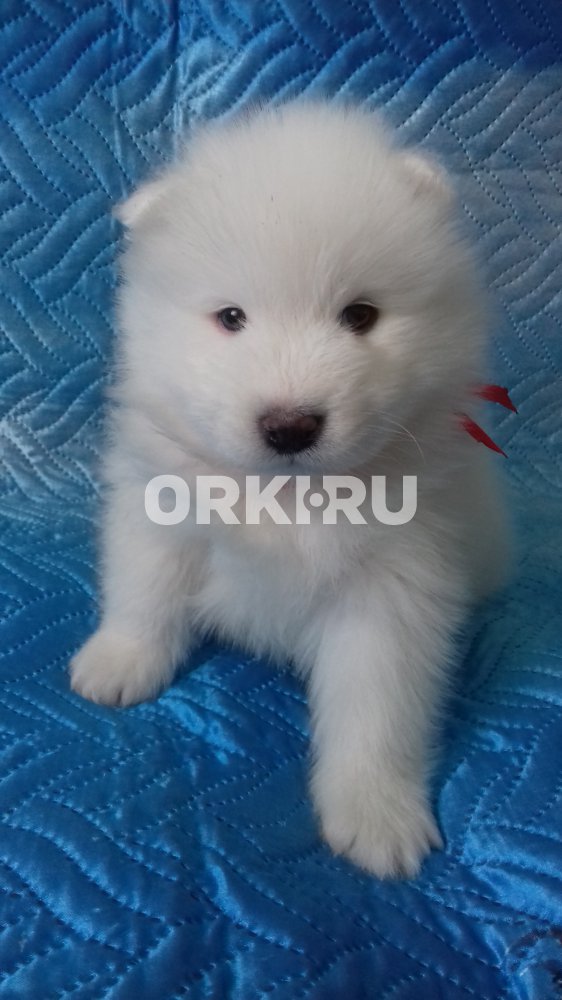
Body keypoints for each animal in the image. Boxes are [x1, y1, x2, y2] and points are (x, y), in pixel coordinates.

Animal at [71, 102, 509, 878]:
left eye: (360, 315)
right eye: (231, 318)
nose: (290, 425)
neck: (285, 495)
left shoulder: (393, 589)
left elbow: (377, 710)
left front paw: (375, 813)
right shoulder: (160, 514)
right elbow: (144, 592)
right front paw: (119, 661)